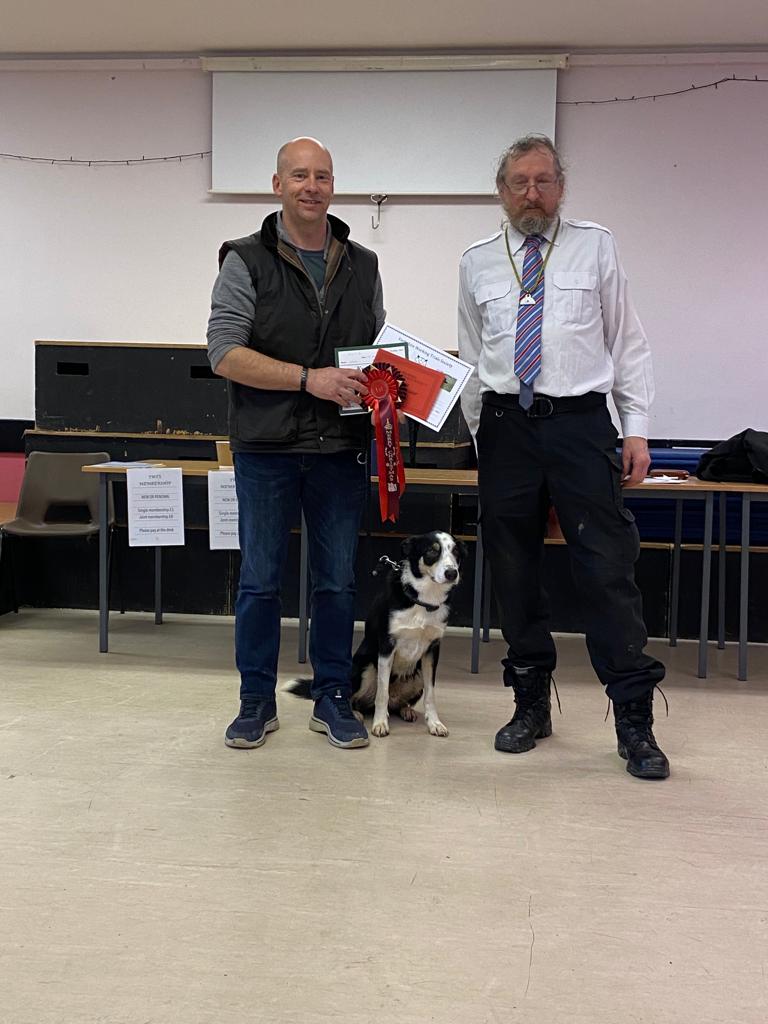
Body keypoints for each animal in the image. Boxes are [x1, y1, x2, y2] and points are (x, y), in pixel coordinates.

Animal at [286, 531, 466, 737]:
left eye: (456, 552)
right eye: (431, 551)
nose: (452, 573)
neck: (423, 599)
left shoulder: (431, 651)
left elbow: (431, 695)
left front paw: (435, 723)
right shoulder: (387, 647)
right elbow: (382, 693)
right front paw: (380, 724)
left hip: (418, 673)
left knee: (397, 704)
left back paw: (406, 710)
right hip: (366, 668)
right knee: (357, 698)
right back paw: (355, 714)